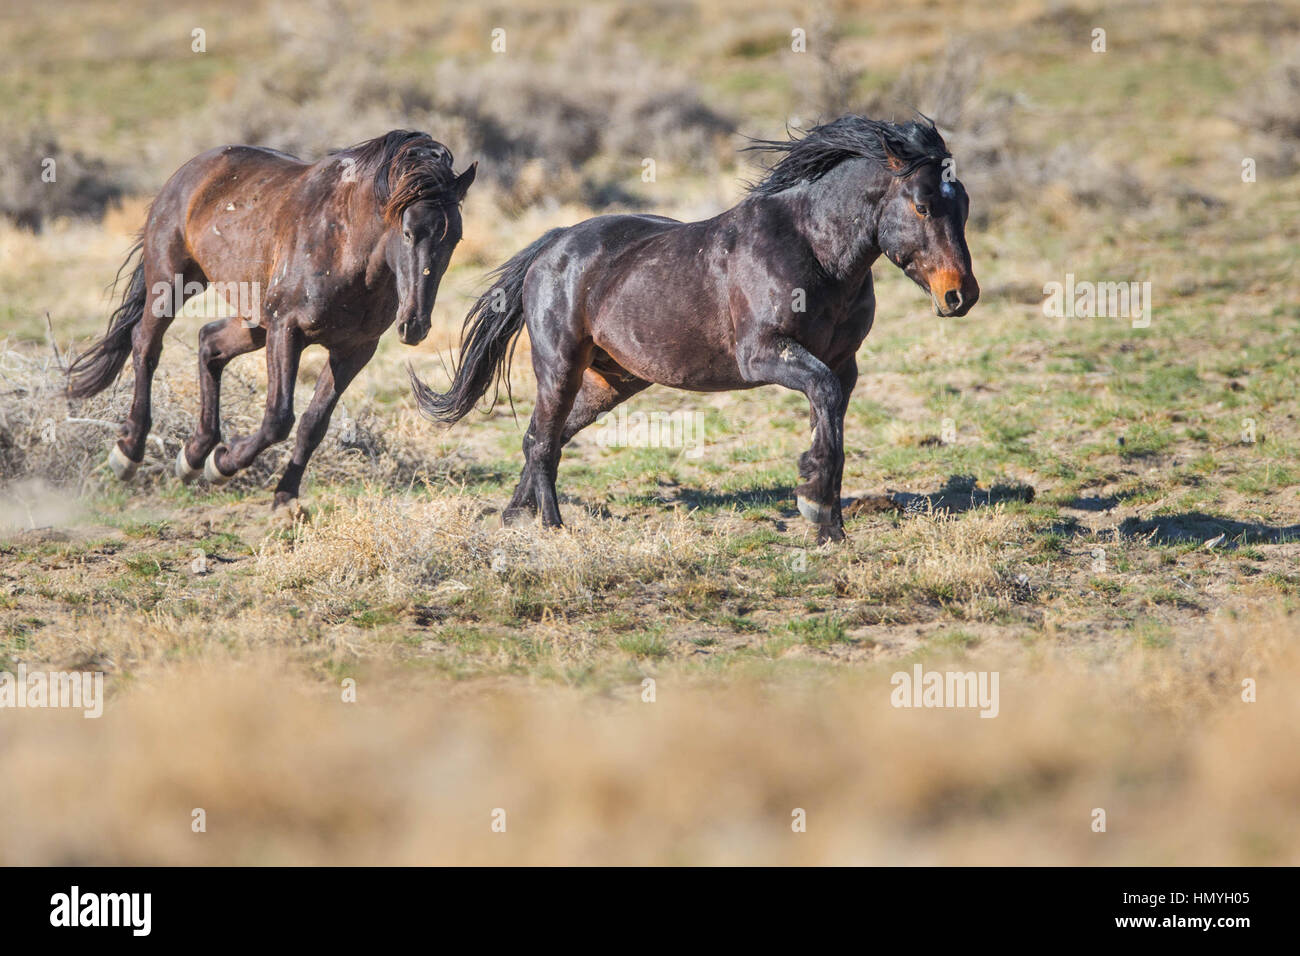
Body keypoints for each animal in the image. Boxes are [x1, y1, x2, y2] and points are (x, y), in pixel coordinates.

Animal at [65, 132, 473, 515]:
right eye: (407, 232)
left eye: (454, 238)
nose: (414, 325)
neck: (344, 244)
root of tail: (188, 172)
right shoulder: (286, 330)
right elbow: (278, 417)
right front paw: (224, 463)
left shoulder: (353, 351)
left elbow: (312, 425)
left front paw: (284, 495)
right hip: (171, 284)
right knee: (145, 345)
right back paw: (130, 452)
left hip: (253, 321)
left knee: (210, 343)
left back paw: (193, 455)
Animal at [413, 115, 977, 541]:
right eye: (923, 206)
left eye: (964, 206)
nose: (961, 295)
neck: (815, 251)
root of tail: (553, 244)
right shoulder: (766, 355)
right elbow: (824, 400)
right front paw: (815, 507)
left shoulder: (844, 365)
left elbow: (831, 416)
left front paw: (829, 524)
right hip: (561, 365)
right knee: (543, 441)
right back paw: (552, 527)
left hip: (610, 381)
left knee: (544, 434)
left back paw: (516, 514)